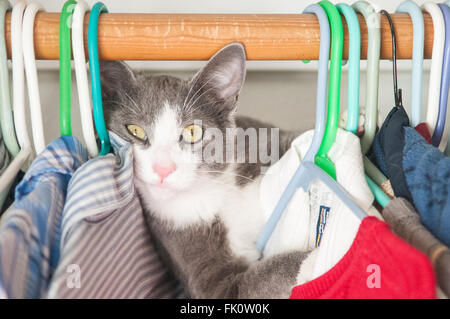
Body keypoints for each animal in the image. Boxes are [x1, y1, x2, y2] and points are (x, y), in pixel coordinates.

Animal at [100, 43, 312, 300]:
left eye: (192, 132)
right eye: (135, 130)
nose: (163, 168)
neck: (211, 192)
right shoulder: (200, 267)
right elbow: (255, 281)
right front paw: (320, 255)